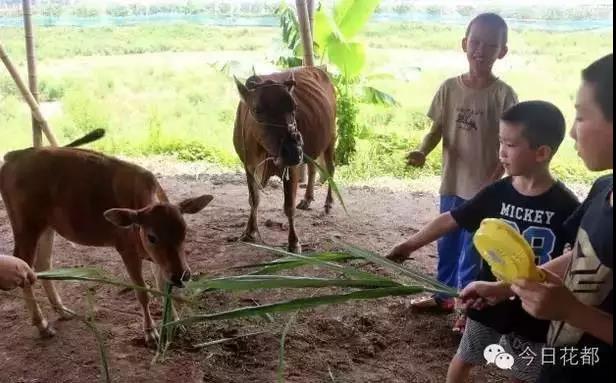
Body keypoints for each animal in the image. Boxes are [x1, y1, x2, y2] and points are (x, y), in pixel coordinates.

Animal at [0, 132, 213, 348]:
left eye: (185, 231)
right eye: (151, 237)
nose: (182, 275)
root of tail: (13, 156)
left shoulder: (160, 260)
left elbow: (163, 288)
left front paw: (175, 323)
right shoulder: (127, 251)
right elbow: (142, 293)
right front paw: (150, 332)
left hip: (46, 226)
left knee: (42, 263)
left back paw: (62, 310)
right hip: (25, 226)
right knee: (23, 266)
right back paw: (42, 325)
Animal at [232, 67, 336, 252]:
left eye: (294, 107)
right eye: (257, 109)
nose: (293, 150)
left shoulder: (292, 167)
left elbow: (289, 207)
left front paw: (294, 242)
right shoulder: (248, 166)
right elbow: (254, 199)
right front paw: (249, 231)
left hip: (331, 137)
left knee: (330, 169)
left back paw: (328, 203)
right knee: (312, 168)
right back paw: (307, 199)